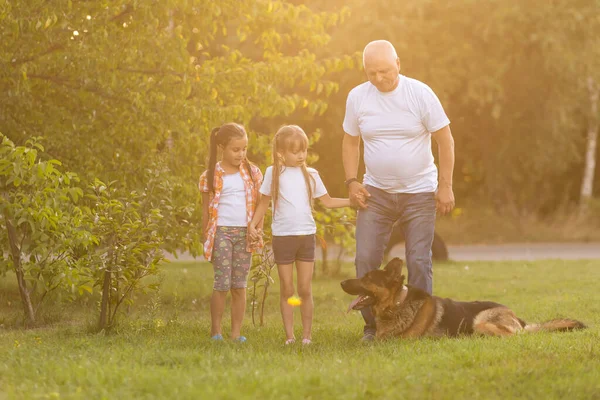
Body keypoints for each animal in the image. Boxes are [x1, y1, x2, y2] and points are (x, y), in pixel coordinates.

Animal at [342, 258, 584, 340]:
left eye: (367, 278)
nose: (342, 283)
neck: (398, 304)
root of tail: (518, 319)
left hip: (480, 322)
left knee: (512, 337)